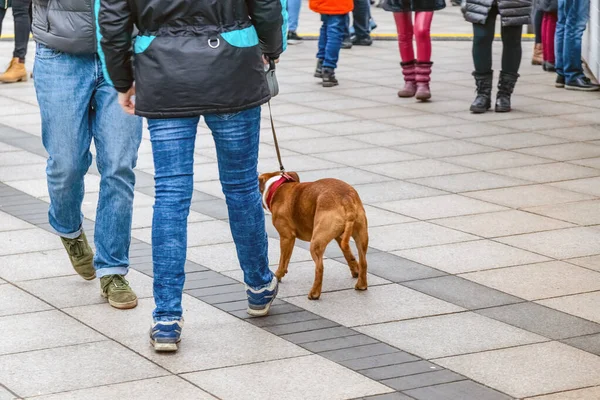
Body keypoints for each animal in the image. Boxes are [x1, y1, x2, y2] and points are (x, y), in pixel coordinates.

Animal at [258, 172, 368, 300]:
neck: (276, 186)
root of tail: (346, 199)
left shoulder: (286, 237)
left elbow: (283, 261)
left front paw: (278, 275)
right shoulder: (340, 237)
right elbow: (348, 254)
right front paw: (355, 270)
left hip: (315, 243)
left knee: (319, 268)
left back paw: (314, 293)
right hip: (361, 236)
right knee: (363, 261)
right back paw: (361, 285)